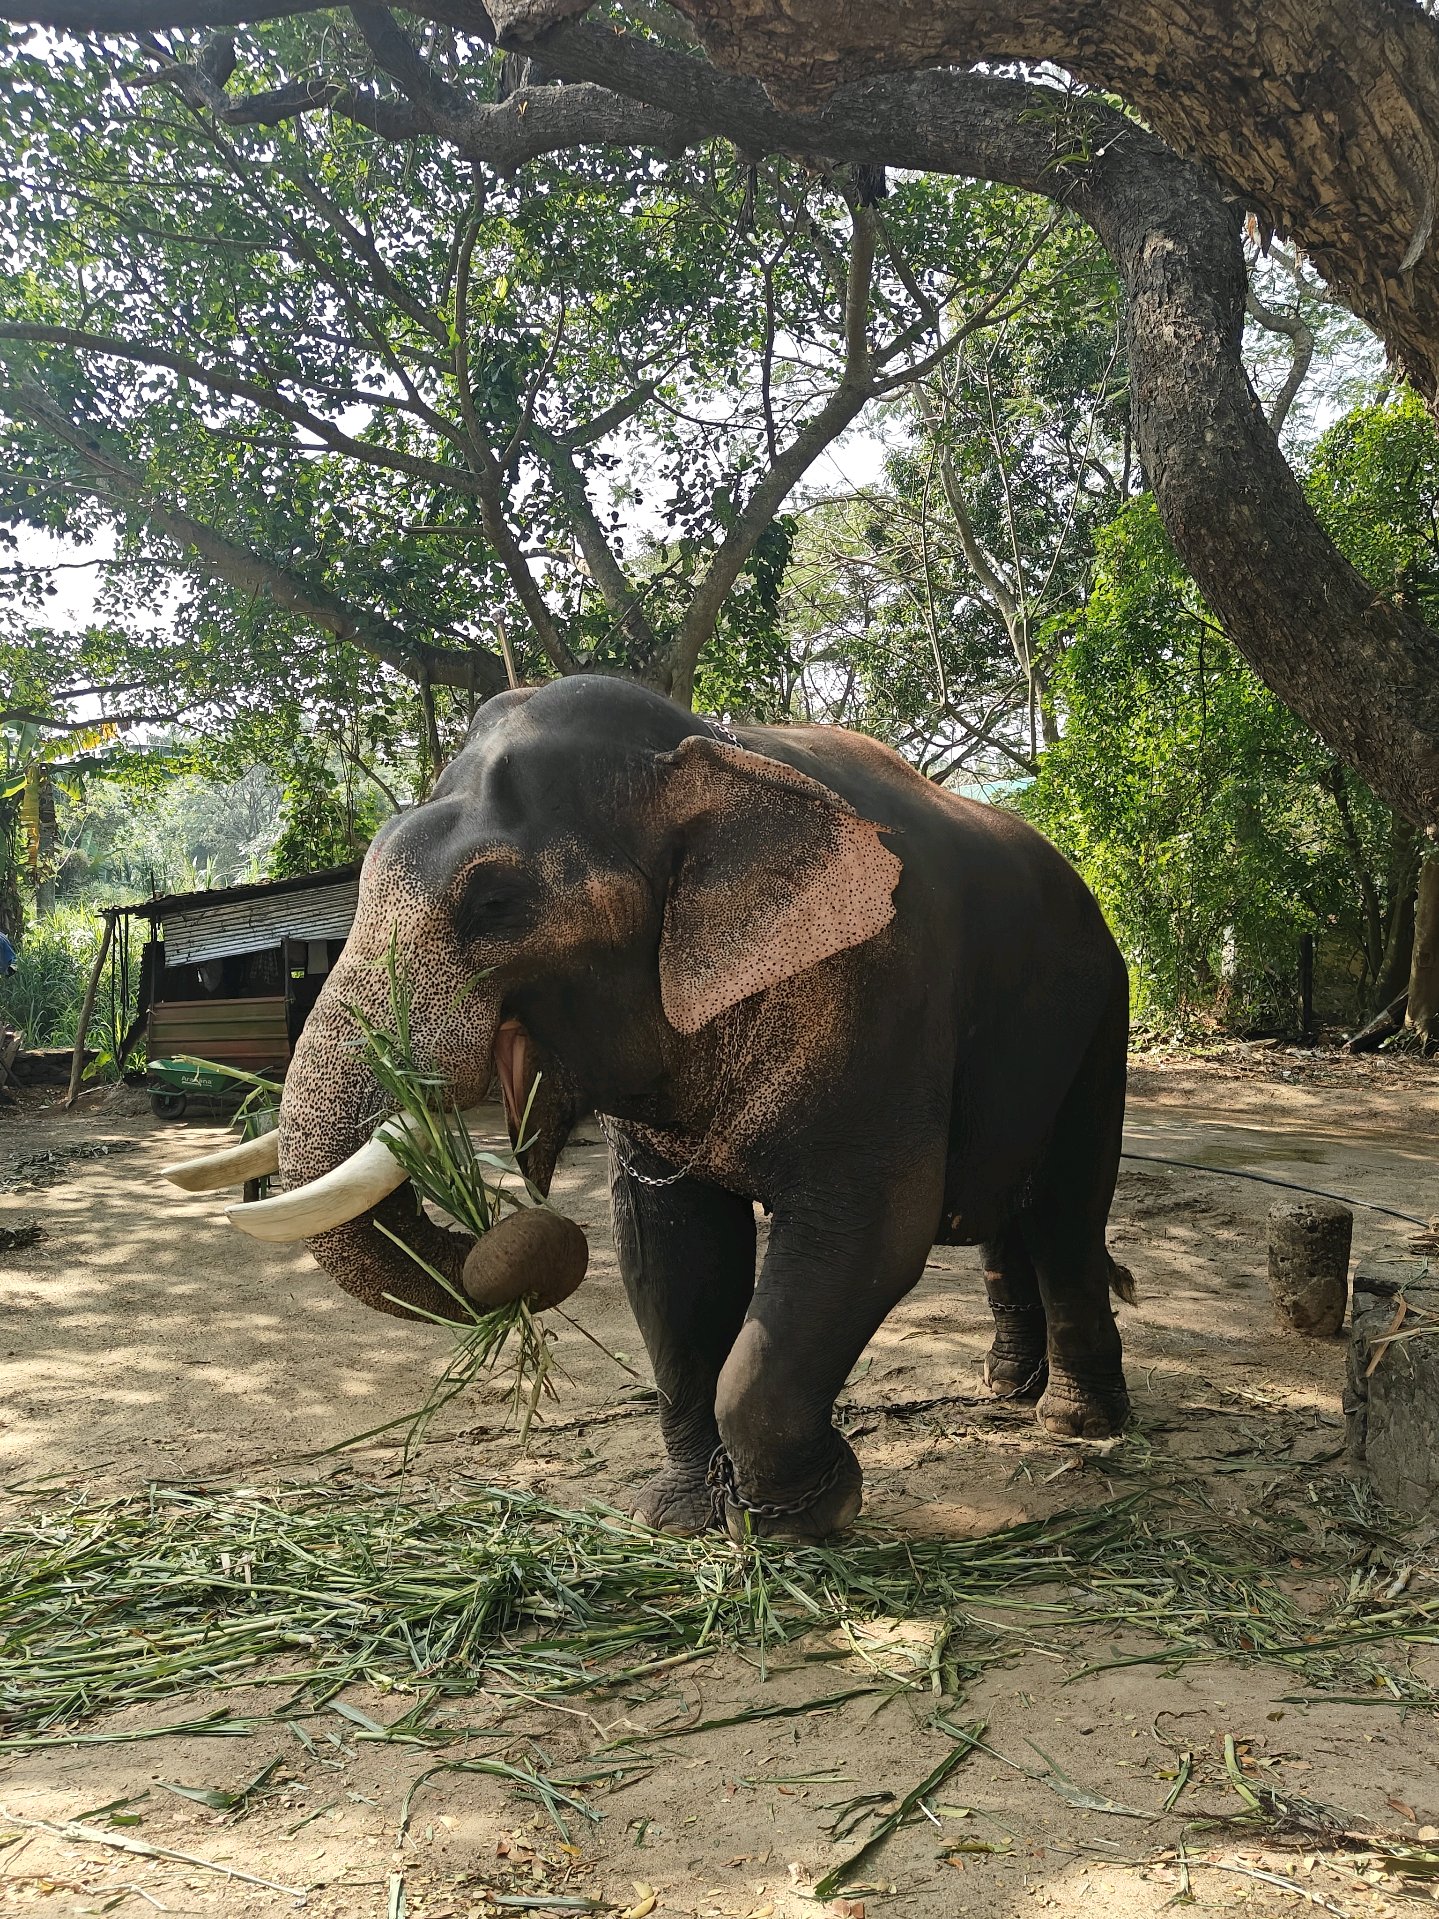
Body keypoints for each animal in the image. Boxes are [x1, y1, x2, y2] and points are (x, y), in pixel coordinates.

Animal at [186, 675, 1134, 1541]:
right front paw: (681, 1517)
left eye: (493, 903)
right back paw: (1006, 1386)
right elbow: (664, 1253)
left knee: (1065, 1211)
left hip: (1101, 1014)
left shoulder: (883, 998)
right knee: (1006, 1216)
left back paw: (1076, 1423)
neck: (707, 751)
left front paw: (802, 1516)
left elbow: (868, 1228)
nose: (517, 1235)